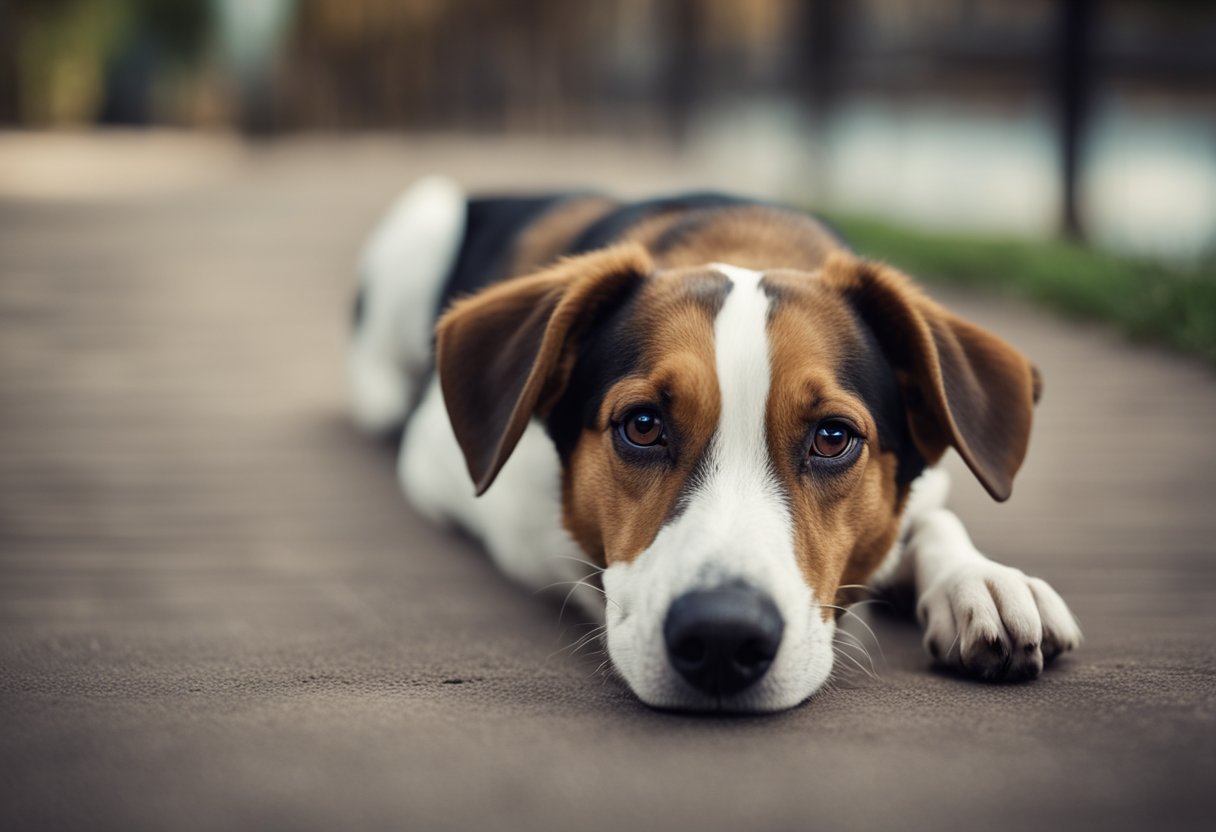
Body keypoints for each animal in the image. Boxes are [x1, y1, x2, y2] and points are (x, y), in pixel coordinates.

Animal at [347, 178, 1079, 710]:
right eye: (642, 426)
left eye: (833, 438)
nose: (724, 638)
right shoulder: (456, 472)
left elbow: (930, 520)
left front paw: (980, 581)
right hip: (427, 214)